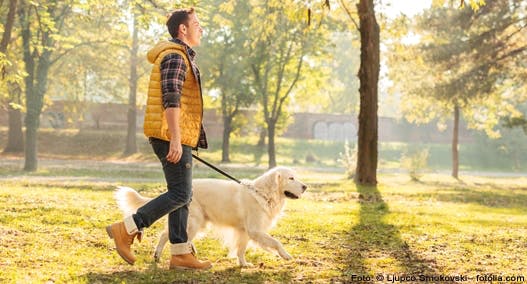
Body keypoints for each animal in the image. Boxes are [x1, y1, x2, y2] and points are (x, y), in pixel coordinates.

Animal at [113, 166, 308, 266]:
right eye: (291, 178)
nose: (305, 186)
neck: (263, 193)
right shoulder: (254, 230)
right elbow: (276, 242)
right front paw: (286, 255)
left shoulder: (244, 231)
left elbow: (241, 249)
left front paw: (243, 264)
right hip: (194, 222)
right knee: (166, 235)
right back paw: (161, 255)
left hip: (197, 223)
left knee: (173, 236)